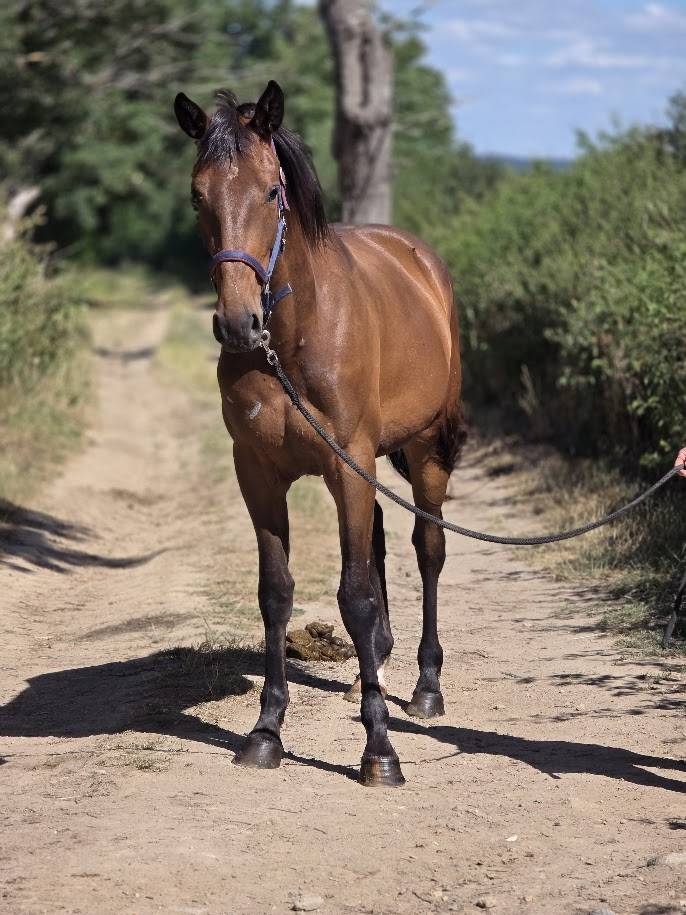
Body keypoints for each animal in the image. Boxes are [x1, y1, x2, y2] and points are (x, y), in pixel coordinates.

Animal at [174, 80, 466, 787]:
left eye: (270, 193)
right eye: (198, 195)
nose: (238, 323)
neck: (293, 335)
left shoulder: (345, 464)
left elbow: (354, 595)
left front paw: (380, 750)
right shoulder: (257, 472)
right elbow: (276, 594)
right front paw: (265, 732)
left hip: (423, 451)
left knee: (428, 548)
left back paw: (425, 687)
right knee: (383, 544)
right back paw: (377, 666)